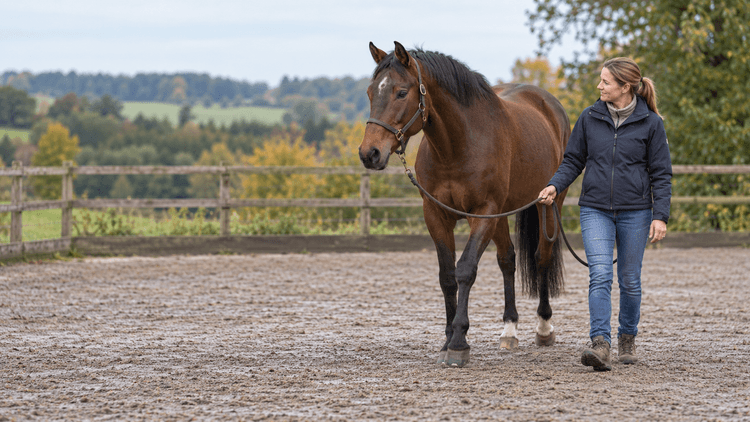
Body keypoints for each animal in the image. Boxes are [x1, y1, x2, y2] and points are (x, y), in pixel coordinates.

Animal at [359, 42, 571, 367]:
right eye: (371, 92)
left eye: (401, 92)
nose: (369, 153)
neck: (457, 146)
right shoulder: (436, 215)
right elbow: (447, 276)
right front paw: (447, 340)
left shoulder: (483, 213)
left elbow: (465, 270)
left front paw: (459, 342)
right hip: (504, 213)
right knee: (507, 259)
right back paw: (509, 329)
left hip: (548, 203)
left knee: (542, 257)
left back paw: (544, 327)